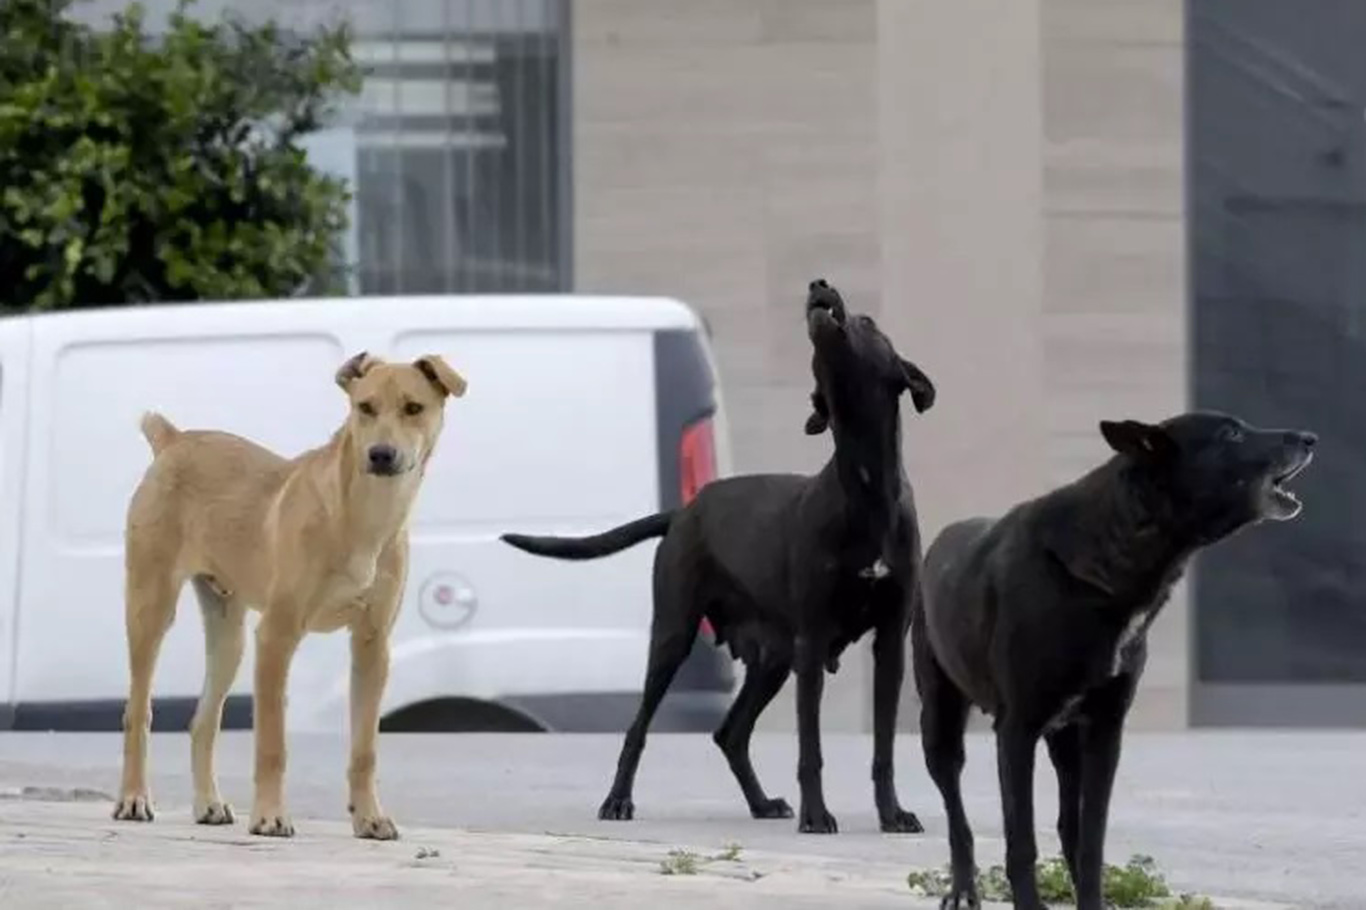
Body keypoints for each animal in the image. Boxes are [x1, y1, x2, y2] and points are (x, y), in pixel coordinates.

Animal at [113, 347, 464, 836]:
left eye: (414, 408)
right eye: (365, 407)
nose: (380, 454)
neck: (362, 518)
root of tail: (175, 440)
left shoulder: (372, 646)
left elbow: (364, 749)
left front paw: (370, 818)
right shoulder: (277, 637)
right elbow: (272, 743)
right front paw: (270, 816)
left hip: (229, 637)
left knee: (203, 721)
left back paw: (209, 804)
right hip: (151, 609)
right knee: (138, 712)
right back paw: (133, 798)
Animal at [502, 280, 939, 830]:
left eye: (868, 322)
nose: (818, 284)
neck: (864, 487)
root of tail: (683, 511)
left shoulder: (888, 644)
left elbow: (883, 748)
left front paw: (892, 813)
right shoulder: (813, 641)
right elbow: (810, 748)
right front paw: (818, 815)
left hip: (772, 659)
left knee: (730, 734)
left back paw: (762, 803)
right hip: (674, 636)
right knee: (639, 728)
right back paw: (618, 800)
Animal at [917, 409, 1311, 907]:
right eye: (1231, 434)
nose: (1310, 438)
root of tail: (940, 539)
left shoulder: (1105, 730)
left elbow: (1091, 840)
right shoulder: (1017, 729)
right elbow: (1021, 841)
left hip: (1065, 741)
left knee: (1068, 823)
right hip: (940, 724)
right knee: (956, 810)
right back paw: (963, 885)